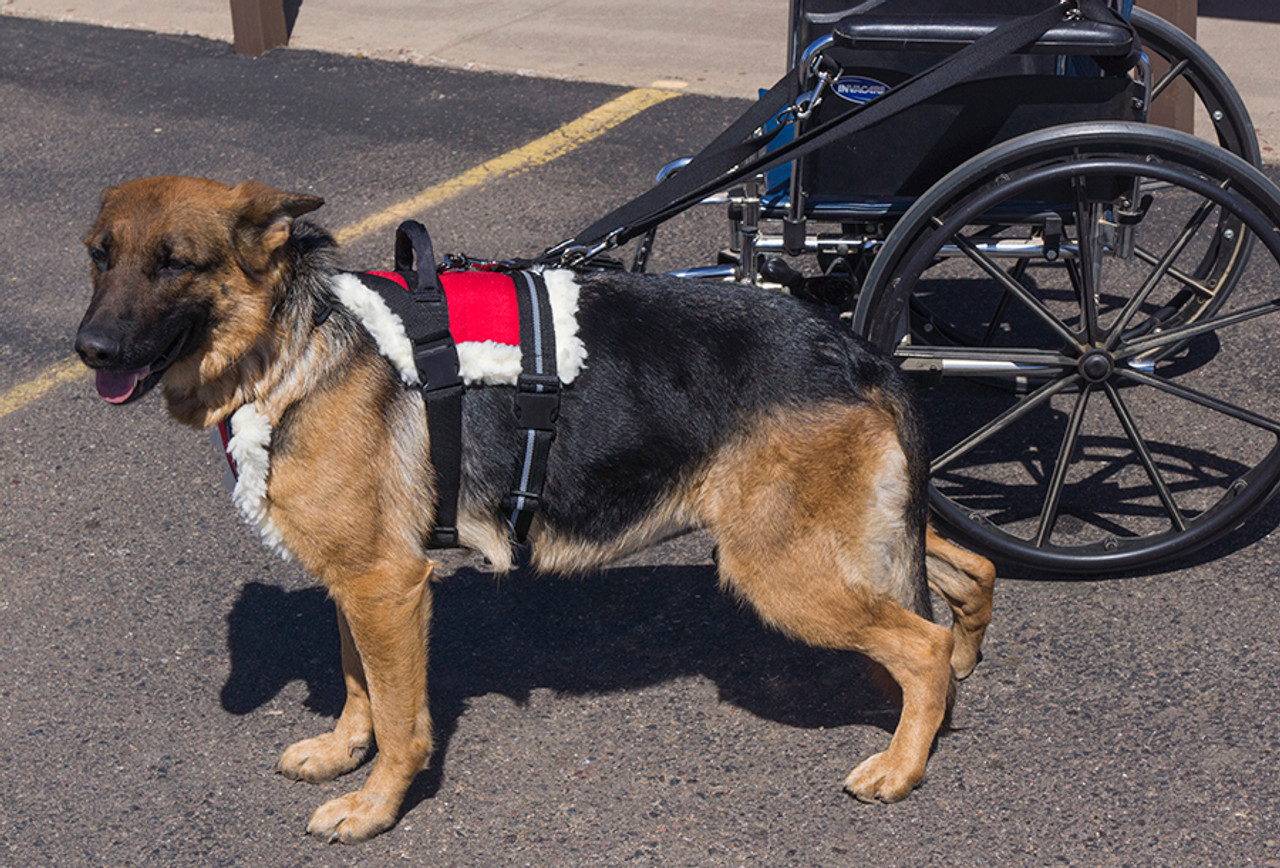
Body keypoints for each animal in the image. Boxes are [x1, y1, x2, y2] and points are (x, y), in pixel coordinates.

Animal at [77, 175, 998, 844]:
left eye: (175, 263)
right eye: (98, 257)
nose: (89, 350)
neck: (290, 340)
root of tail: (860, 350)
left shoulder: (389, 587)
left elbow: (401, 719)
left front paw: (375, 808)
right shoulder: (356, 584)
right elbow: (357, 684)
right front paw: (343, 754)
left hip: (781, 567)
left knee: (922, 642)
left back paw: (902, 764)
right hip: (859, 533)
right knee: (970, 574)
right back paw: (951, 686)